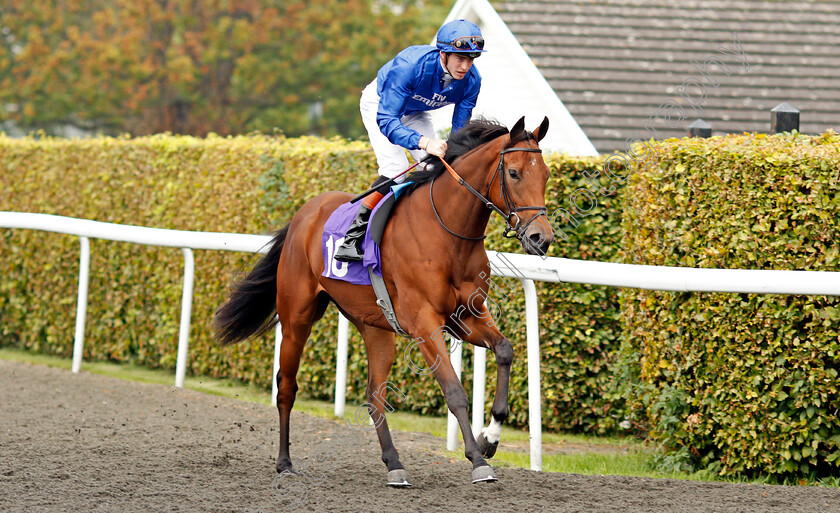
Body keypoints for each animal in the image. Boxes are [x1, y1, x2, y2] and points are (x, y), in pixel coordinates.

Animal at [213, 115, 556, 484]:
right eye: (514, 173)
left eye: (546, 174)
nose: (541, 238)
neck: (448, 234)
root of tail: (303, 214)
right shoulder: (424, 322)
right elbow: (454, 391)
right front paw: (478, 461)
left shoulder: (465, 316)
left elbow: (505, 350)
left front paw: (489, 439)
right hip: (296, 317)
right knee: (286, 387)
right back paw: (285, 463)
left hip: (375, 327)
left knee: (374, 394)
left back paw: (394, 464)